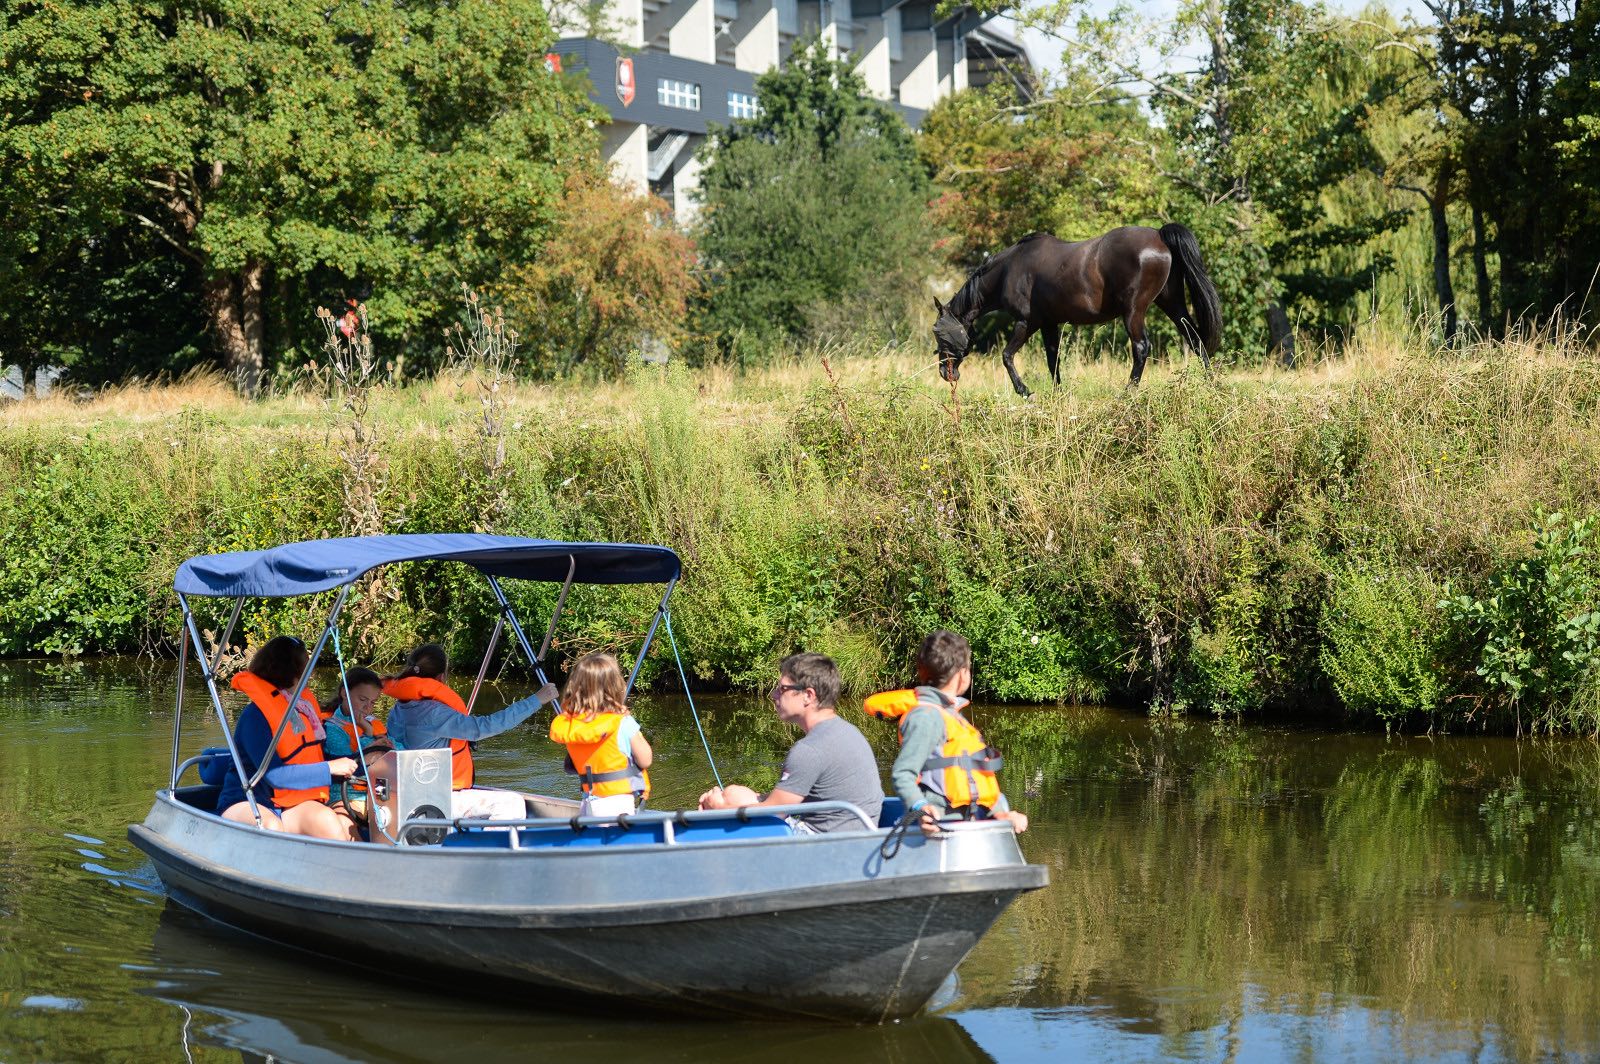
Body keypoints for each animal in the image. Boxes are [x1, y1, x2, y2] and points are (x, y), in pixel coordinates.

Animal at [934, 224, 1216, 393]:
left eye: (939, 333)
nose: (945, 373)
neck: (1009, 269)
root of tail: (1159, 235)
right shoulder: (1049, 324)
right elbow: (1053, 360)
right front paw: (1058, 393)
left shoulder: (1027, 323)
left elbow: (1007, 356)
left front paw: (1024, 391)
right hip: (1172, 303)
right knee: (1195, 339)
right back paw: (1212, 384)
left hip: (1134, 311)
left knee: (1141, 347)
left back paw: (1128, 393)